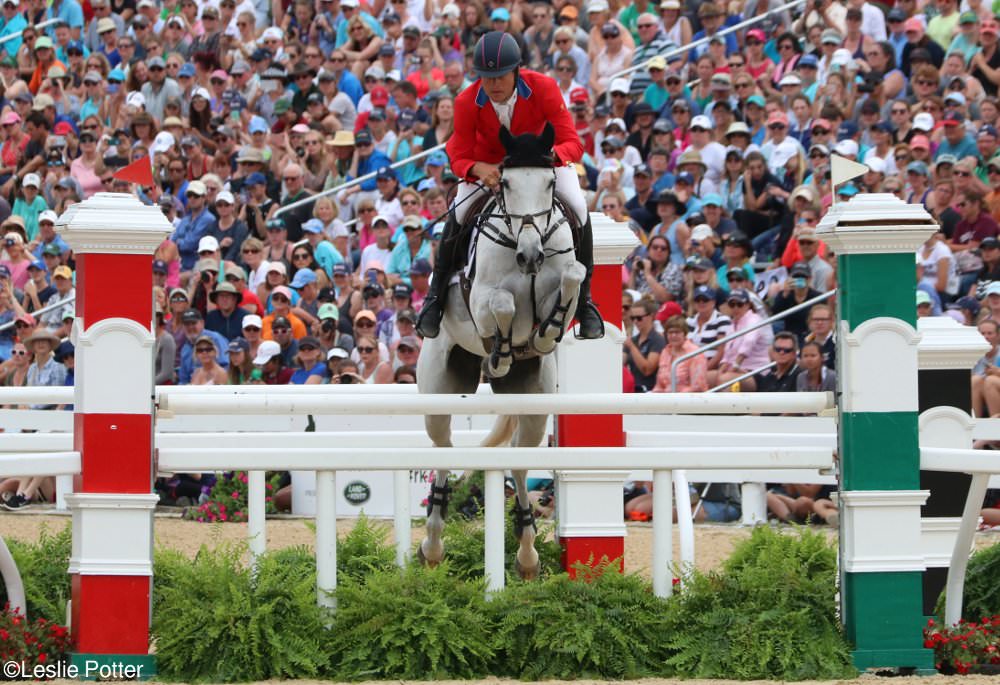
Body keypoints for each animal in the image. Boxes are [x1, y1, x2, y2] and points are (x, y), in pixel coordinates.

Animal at [414, 124, 584, 576]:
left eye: (549, 183)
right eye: (505, 183)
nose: (531, 257)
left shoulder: (564, 281)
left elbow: (573, 277)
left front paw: (543, 335)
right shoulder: (482, 299)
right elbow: (504, 304)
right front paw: (502, 350)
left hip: (533, 404)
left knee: (519, 462)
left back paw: (527, 553)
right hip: (440, 388)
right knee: (443, 450)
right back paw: (432, 544)